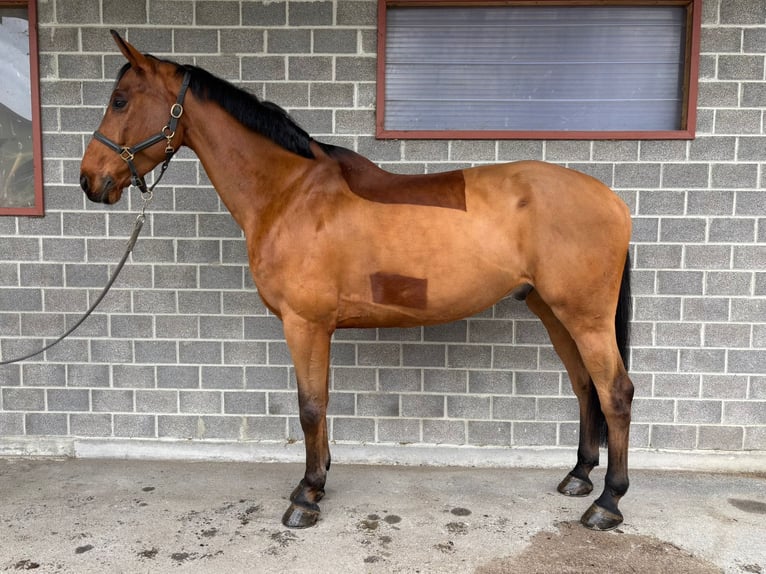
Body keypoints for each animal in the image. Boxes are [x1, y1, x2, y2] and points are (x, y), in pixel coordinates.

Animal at [80, 31, 634, 532]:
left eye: (120, 100)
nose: (90, 181)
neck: (290, 193)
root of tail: (611, 198)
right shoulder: (316, 328)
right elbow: (320, 402)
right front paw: (319, 478)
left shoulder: (304, 324)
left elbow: (310, 406)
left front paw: (305, 497)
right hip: (552, 311)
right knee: (585, 387)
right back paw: (579, 476)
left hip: (584, 317)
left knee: (615, 392)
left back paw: (606, 503)